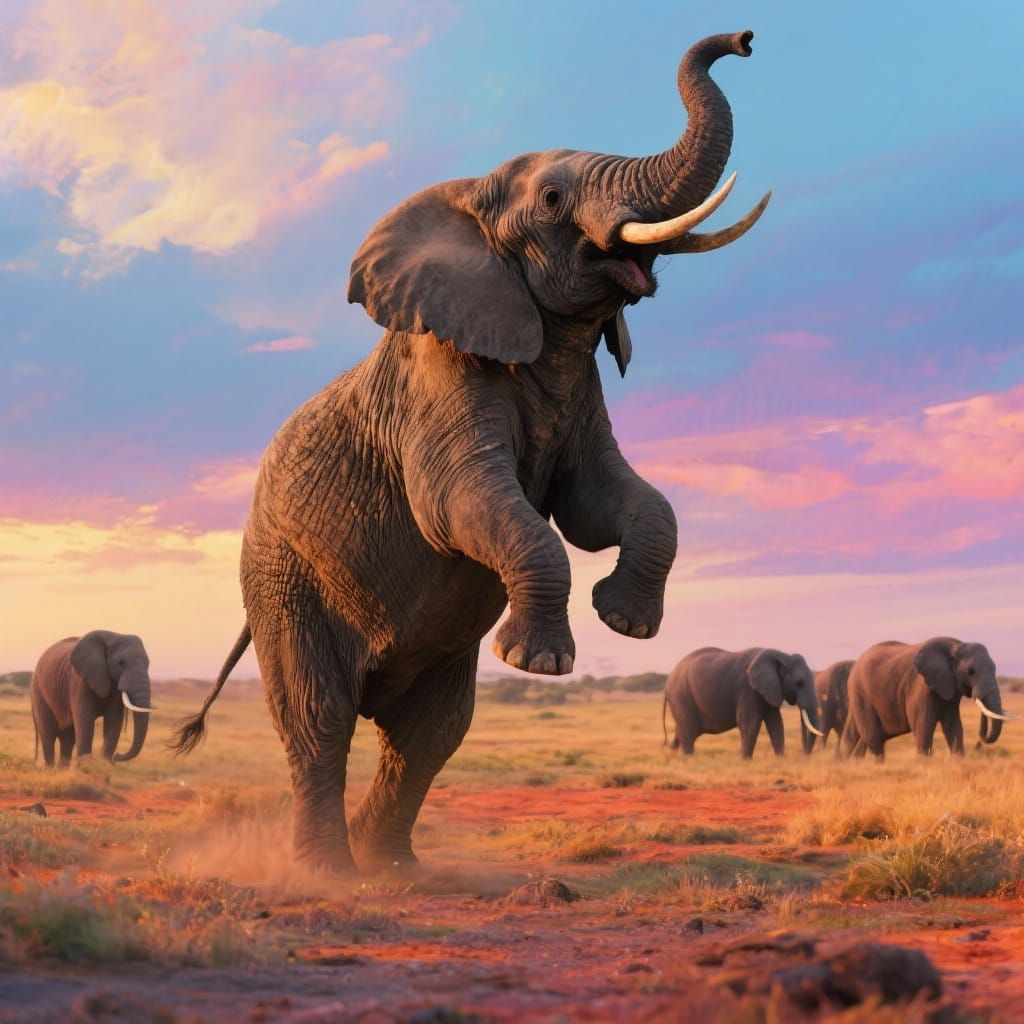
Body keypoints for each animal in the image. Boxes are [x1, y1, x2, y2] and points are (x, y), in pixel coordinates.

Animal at [30, 631, 154, 767]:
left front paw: (106, 765)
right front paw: (85, 767)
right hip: (39, 692)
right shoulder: (80, 681)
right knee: (48, 736)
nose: (117, 756)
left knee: (68, 739)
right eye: (121, 663)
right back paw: (50, 769)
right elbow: (85, 720)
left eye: (148, 664)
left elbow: (114, 720)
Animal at [172, 30, 771, 874]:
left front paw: (626, 622)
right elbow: (463, 505)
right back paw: (329, 874)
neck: (469, 201)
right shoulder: (441, 375)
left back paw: (392, 869)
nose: (743, 41)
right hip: (282, 580)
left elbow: (609, 505)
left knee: (430, 732)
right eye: (552, 200)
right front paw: (540, 664)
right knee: (320, 717)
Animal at [662, 647, 821, 759]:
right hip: (681, 695)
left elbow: (775, 721)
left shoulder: (768, 689)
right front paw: (745, 760)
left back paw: (671, 754)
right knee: (688, 731)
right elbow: (750, 722)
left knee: (681, 731)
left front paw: (780, 759)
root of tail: (668, 683)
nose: (804, 756)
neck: (782, 655)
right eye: (799, 683)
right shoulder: (748, 689)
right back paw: (688, 758)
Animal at [840, 638, 1011, 760]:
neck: (956, 646)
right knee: (873, 736)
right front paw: (923, 762)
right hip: (860, 692)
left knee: (854, 734)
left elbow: (953, 725)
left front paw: (958, 760)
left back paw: (846, 763)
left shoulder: (949, 687)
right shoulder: (921, 685)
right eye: (971, 671)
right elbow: (923, 723)